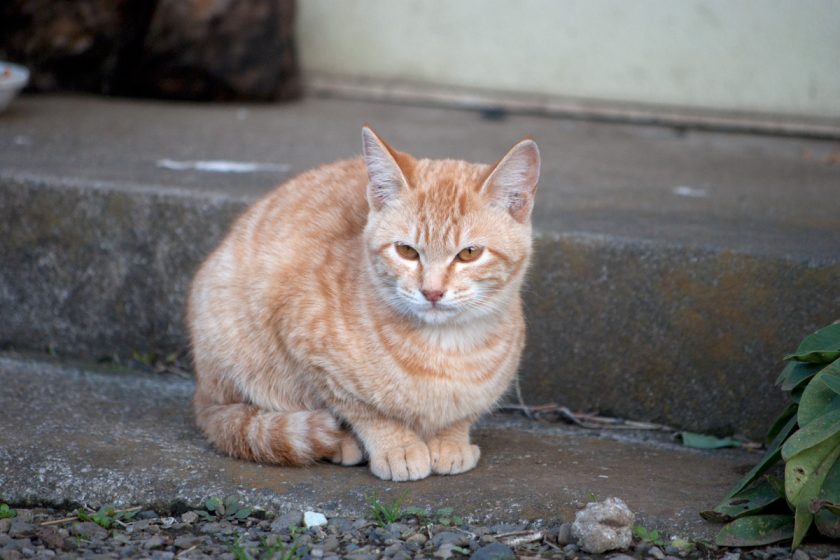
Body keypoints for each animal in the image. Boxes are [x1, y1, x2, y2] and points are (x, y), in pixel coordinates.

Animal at [187, 128, 540, 482]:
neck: (447, 348)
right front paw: (398, 445)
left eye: (469, 253)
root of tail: (202, 392)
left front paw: (451, 440)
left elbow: (461, 414)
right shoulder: (307, 346)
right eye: (406, 251)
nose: (432, 292)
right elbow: (364, 409)